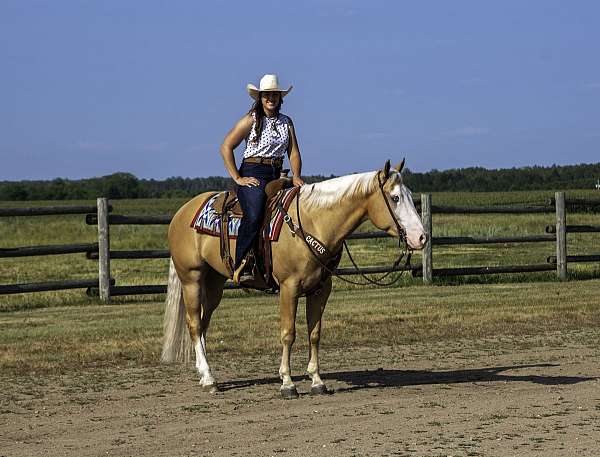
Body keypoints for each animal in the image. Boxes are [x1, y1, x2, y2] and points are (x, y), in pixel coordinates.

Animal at [162, 159, 426, 398]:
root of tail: (181, 212)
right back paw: (209, 379)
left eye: (409, 195)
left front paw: (317, 381)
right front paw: (287, 383)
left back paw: (204, 373)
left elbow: (314, 333)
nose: (421, 237)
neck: (313, 222)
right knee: (195, 325)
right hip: (192, 278)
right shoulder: (289, 288)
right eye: (395, 198)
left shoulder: (321, 289)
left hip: (214, 282)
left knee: (204, 324)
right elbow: (288, 333)